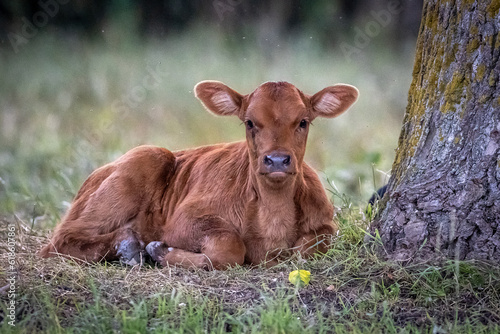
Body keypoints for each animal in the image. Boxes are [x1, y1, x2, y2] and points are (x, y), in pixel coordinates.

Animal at [40, 80, 360, 268]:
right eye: (249, 122)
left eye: (303, 121)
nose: (278, 160)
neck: (272, 222)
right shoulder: (184, 220)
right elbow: (230, 248)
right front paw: (161, 251)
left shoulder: (325, 226)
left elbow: (309, 248)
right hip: (143, 159)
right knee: (59, 241)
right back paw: (130, 246)